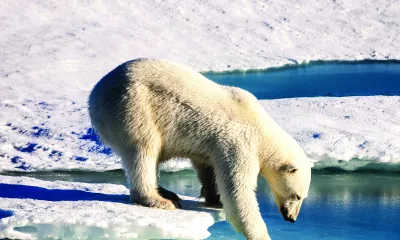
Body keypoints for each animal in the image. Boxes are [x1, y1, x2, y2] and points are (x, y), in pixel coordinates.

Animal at [87, 58, 312, 240]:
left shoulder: (214, 145)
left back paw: (167, 192)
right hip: (132, 107)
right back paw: (159, 199)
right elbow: (238, 191)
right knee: (143, 150)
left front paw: (214, 198)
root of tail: (95, 94)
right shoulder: (240, 143)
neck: (261, 128)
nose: (291, 218)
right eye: (297, 196)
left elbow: (208, 167)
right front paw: (262, 234)